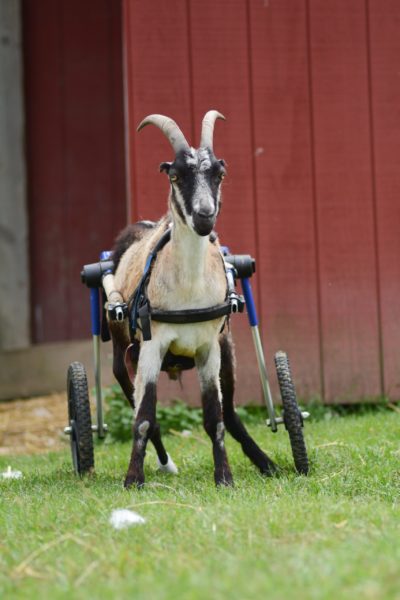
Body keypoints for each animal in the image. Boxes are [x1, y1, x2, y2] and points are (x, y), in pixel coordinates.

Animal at [106, 111, 276, 488]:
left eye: (219, 174)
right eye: (175, 175)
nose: (204, 215)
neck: (187, 291)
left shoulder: (208, 348)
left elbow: (215, 416)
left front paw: (224, 477)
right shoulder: (152, 346)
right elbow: (143, 416)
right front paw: (133, 479)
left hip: (227, 350)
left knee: (230, 412)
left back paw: (267, 462)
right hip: (121, 348)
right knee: (135, 401)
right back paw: (164, 462)